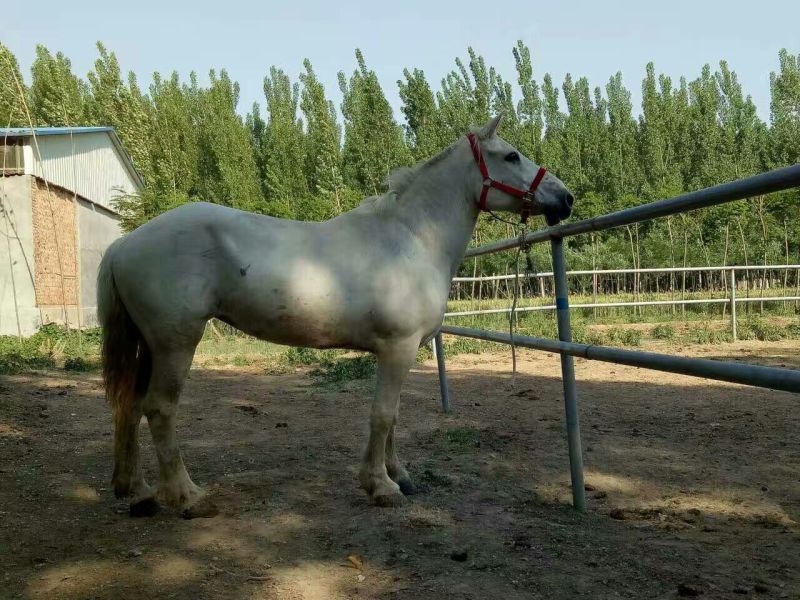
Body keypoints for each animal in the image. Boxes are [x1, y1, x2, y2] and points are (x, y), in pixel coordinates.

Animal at [98, 114, 575, 518]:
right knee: (160, 408)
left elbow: (394, 416)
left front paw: (399, 475)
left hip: (148, 346)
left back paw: (137, 491)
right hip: (175, 342)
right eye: (511, 155)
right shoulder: (397, 348)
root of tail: (123, 244)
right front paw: (380, 486)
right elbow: (382, 414)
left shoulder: (399, 354)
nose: (566, 198)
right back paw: (187, 496)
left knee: (130, 407)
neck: (410, 240)